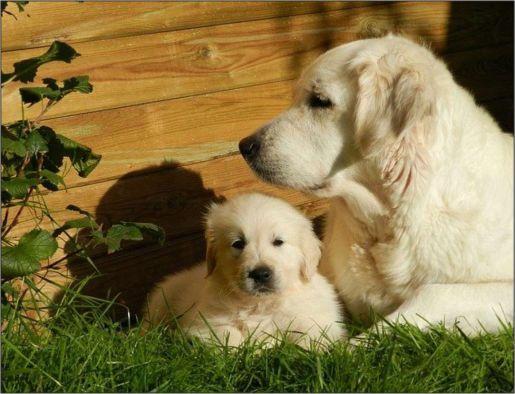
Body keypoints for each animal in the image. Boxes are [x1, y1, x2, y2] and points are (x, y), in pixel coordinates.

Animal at [143, 192, 344, 346]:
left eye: (278, 242)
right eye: (238, 243)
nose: (261, 274)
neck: (260, 304)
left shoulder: (318, 318)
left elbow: (311, 337)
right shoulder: (205, 322)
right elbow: (229, 337)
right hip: (161, 300)